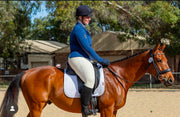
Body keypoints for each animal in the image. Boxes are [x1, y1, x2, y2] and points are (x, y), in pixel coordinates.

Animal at [0, 43, 174, 116]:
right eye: (159, 60)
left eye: (166, 59)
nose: (171, 80)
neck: (118, 76)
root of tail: (27, 72)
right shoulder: (107, 109)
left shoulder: (113, 110)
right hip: (37, 106)